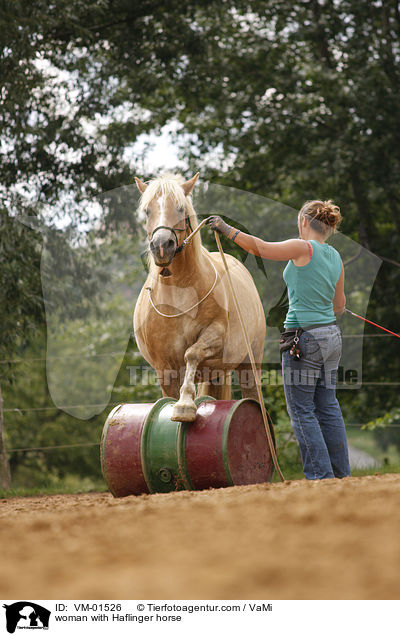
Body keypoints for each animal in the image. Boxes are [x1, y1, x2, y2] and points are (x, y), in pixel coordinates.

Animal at [133, 173, 268, 422]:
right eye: (147, 210)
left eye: (180, 208)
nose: (162, 246)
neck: (179, 295)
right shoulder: (164, 368)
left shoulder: (216, 335)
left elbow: (192, 353)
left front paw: (185, 404)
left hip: (249, 364)